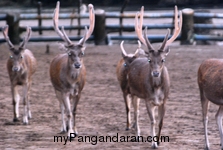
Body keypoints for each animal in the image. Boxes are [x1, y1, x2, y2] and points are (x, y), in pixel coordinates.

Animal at [49, 1, 95, 138]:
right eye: (70, 53)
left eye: (82, 53)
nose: (77, 65)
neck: (73, 82)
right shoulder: (64, 90)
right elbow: (68, 111)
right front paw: (69, 132)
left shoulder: (79, 91)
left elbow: (74, 111)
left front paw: (75, 130)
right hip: (56, 88)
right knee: (61, 107)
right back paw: (63, 128)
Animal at [128, 5, 182, 148]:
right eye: (150, 60)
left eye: (163, 59)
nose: (156, 73)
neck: (157, 89)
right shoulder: (148, 99)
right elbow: (152, 121)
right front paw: (153, 143)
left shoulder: (164, 100)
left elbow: (160, 122)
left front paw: (158, 141)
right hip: (133, 91)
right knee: (136, 113)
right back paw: (137, 135)